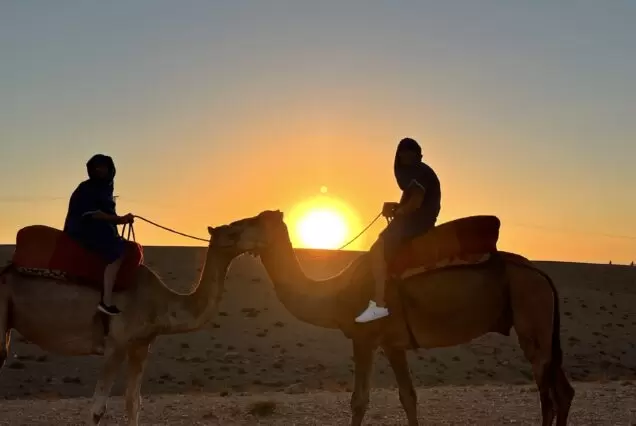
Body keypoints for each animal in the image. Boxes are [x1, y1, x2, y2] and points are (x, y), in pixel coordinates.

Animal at [0, 220, 264, 426]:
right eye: (234, 231)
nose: (260, 230)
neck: (159, 303)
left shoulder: (141, 345)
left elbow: (133, 402)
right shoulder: (115, 344)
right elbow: (97, 409)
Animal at [230, 211, 576, 426]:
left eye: (253, 221)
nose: (226, 230)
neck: (336, 292)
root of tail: (540, 274)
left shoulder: (365, 338)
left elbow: (359, 400)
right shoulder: (393, 344)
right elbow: (408, 397)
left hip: (532, 317)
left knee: (547, 394)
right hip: (543, 328)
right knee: (563, 391)